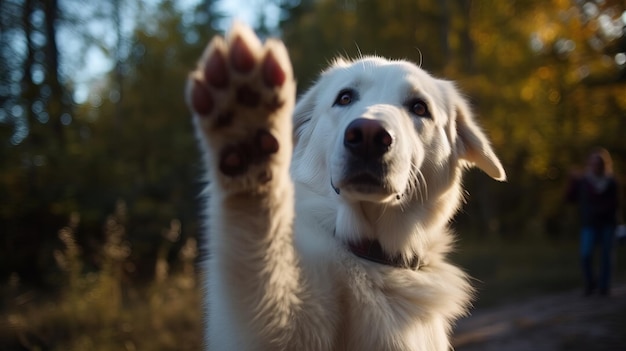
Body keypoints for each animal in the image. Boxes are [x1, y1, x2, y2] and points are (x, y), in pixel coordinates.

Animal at [184, 23, 502, 350]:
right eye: (345, 98)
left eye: (419, 107)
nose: (368, 135)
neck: (371, 255)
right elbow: (257, 253)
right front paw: (247, 126)